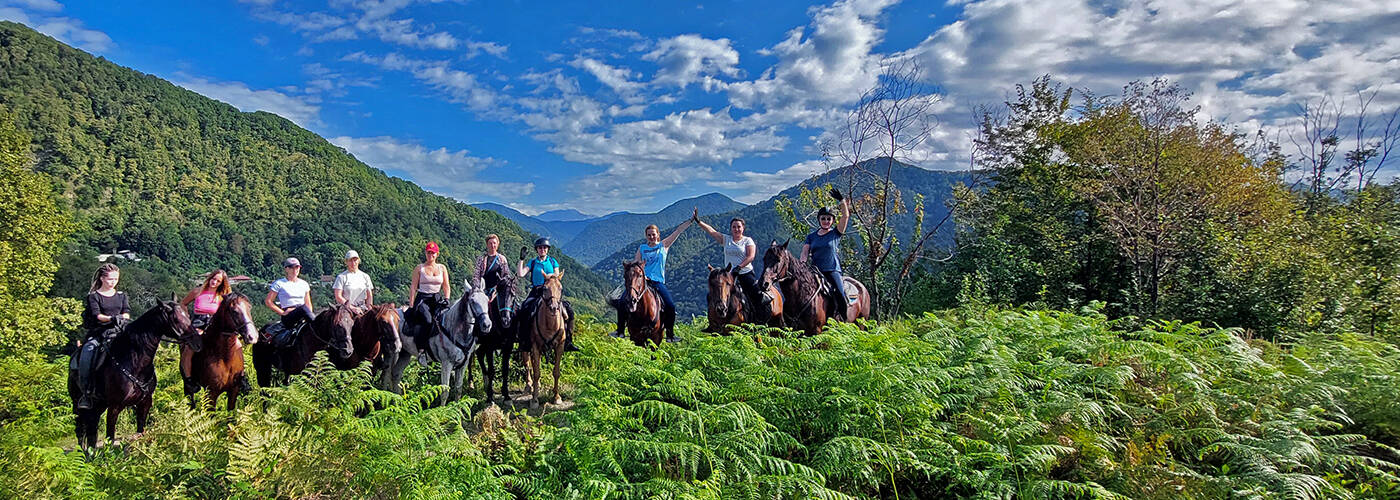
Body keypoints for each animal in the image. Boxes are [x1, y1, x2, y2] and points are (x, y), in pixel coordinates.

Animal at [66, 298, 200, 453]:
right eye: (176, 319)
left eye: (188, 316)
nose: (198, 342)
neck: (133, 361)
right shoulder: (114, 406)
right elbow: (110, 438)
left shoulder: (145, 402)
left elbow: (140, 431)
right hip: (78, 404)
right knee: (81, 429)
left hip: (99, 405)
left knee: (91, 429)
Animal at [470, 260, 520, 400]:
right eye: (499, 294)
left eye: (513, 295)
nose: (506, 320)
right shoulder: (490, 347)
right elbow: (492, 370)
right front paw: (490, 397)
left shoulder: (508, 347)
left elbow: (505, 370)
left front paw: (506, 394)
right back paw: (472, 384)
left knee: (479, 354)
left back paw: (485, 382)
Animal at [526, 273, 568, 406]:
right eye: (544, 288)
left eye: (561, 288)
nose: (554, 308)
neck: (550, 325)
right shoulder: (535, 346)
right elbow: (537, 372)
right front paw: (534, 399)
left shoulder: (560, 346)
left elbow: (556, 372)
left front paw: (556, 397)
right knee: (527, 364)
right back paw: (529, 386)